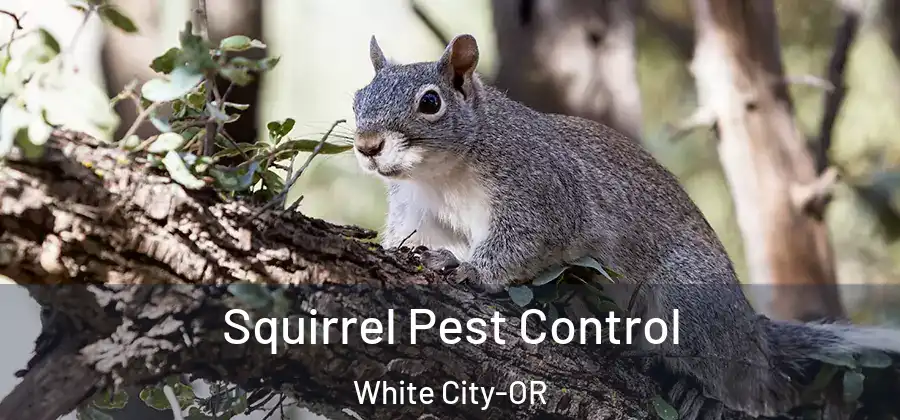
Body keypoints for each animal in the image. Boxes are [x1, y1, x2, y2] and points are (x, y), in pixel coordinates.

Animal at [350, 34, 900, 419]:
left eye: (430, 102)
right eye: (358, 97)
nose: (367, 145)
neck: (442, 173)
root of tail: (750, 331)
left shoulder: (543, 190)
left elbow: (524, 241)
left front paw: (469, 269)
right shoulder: (419, 211)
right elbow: (409, 238)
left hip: (690, 301)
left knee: (746, 384)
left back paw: (704, 393)